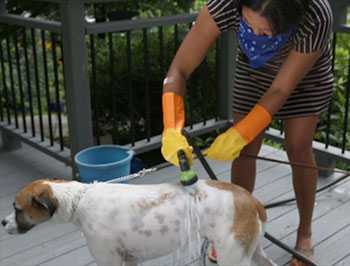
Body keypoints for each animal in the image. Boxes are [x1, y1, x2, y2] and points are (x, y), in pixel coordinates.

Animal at [2, 179, 276, 266]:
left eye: (17, 208)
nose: (2, 223)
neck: (80, 200)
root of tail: (250, 199)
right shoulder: (130, 259)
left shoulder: (108, 261)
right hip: (252, 252)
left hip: (233, 257)